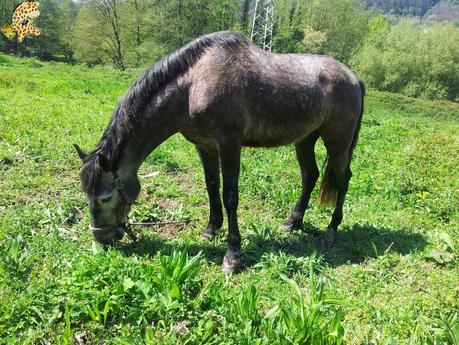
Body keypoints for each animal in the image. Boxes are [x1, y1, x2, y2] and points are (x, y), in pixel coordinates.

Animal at [73, 30, 364, 272]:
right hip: (304, 140)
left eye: (105, 197)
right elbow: (211, 185)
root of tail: (354, 78)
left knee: (342, 179)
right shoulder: (205, 146)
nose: (102, 237)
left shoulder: (229, 145)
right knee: (310, 176)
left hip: (337, 142)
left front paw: (232, 255)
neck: (193, 85)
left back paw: (332, 227)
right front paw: (211, 228)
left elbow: (230, 195)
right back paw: (293, 222)